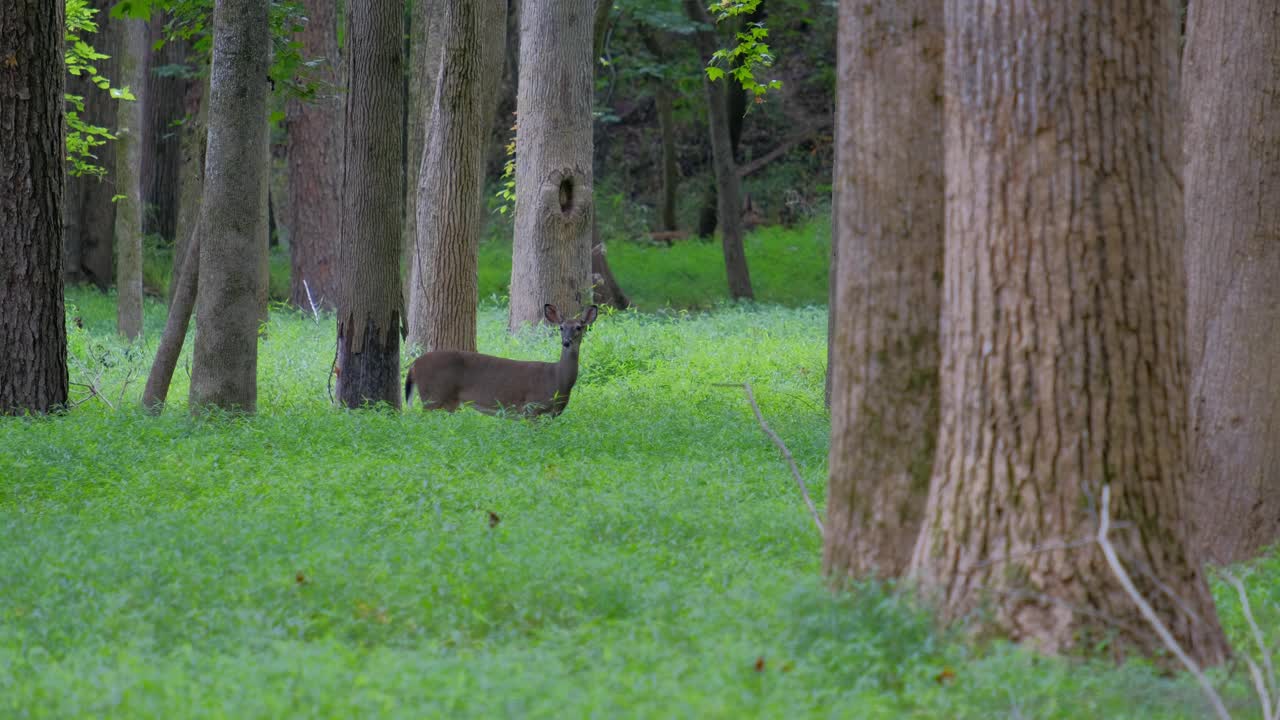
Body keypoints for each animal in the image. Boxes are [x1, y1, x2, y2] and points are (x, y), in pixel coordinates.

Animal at [401, 301, 596, 415]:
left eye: (579, 327)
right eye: (561, 327)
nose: (566, 342)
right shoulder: (531, 407)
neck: (557, 380)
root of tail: (414, 365)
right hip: (433, 396)